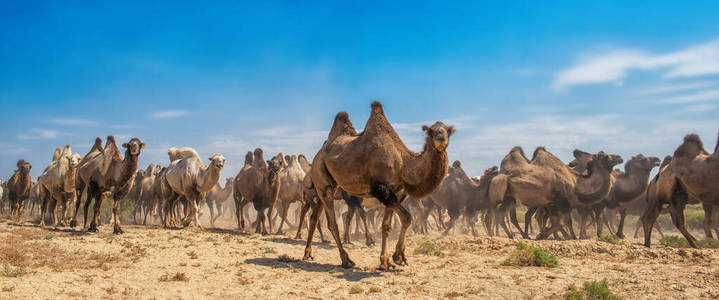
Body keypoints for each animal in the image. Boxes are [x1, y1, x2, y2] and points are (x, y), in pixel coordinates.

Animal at [306, 101, 452, 270]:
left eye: (449, 130)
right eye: (430, 131)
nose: (441, 137)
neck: (403, 163)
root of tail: (317, 156)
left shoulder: (396, 192)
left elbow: (386, 226)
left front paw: (387, 261)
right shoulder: (381, 188)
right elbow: (407, 217)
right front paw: (398, 257)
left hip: (325, 186)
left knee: (315, 216)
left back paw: (307, 253)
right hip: (322, 177)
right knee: (332, 223)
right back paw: (346, 260)